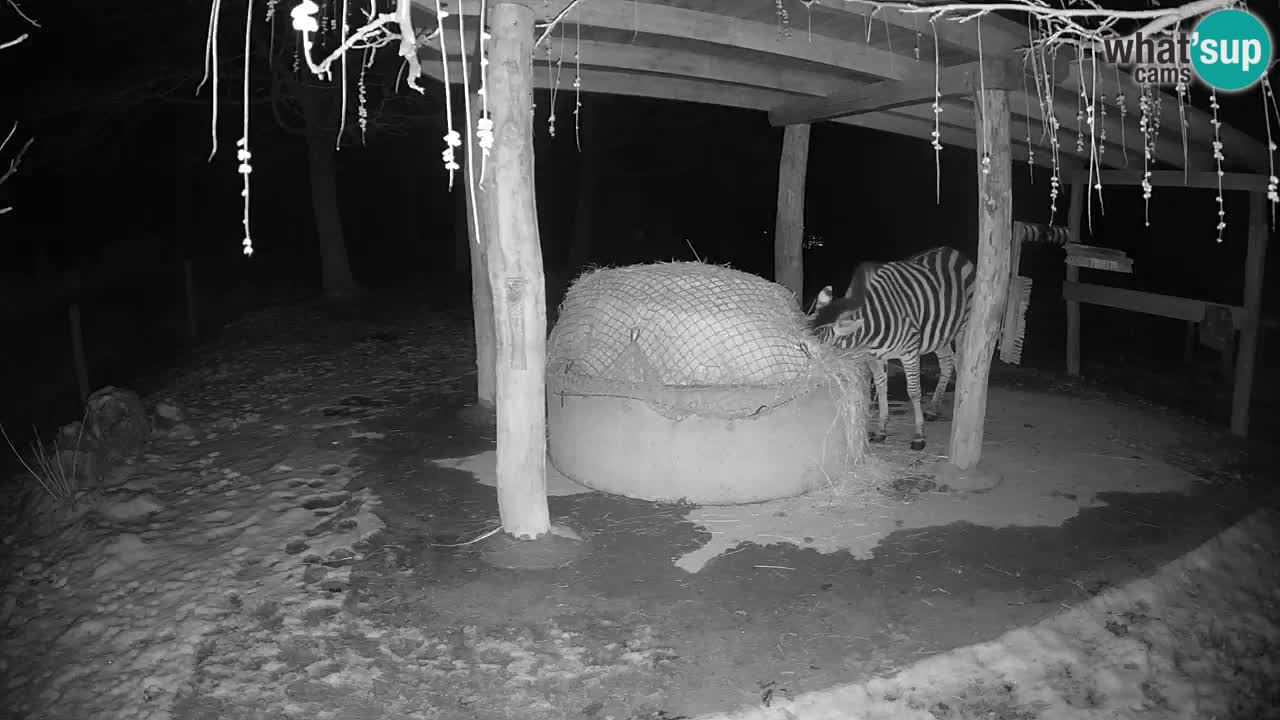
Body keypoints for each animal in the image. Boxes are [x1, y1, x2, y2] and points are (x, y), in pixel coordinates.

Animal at [808, 244, 977, 448]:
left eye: (820, 351)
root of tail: (952, 250)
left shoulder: (910, 352)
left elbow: (914, 391)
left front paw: (919, 435)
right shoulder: (873, 357)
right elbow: (881, 389)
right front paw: (881, 430)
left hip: (962, 326)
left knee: (959, 361)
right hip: (939, 333)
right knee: (947, 362)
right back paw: (933, 409)